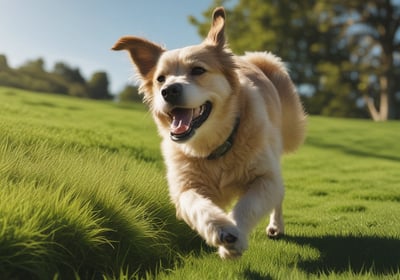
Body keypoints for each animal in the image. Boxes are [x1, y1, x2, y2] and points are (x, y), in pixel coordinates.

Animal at [112, 6, 306, 258]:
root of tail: (254, 61)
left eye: (198, 70)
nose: (168, 90)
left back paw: (276, 226)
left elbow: (248, 204)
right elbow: (197, 205)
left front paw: (236, 235)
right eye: (160, 79)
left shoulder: (265, 177)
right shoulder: (184, 186)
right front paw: (222, 230)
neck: (215, 145)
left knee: (279, 195)